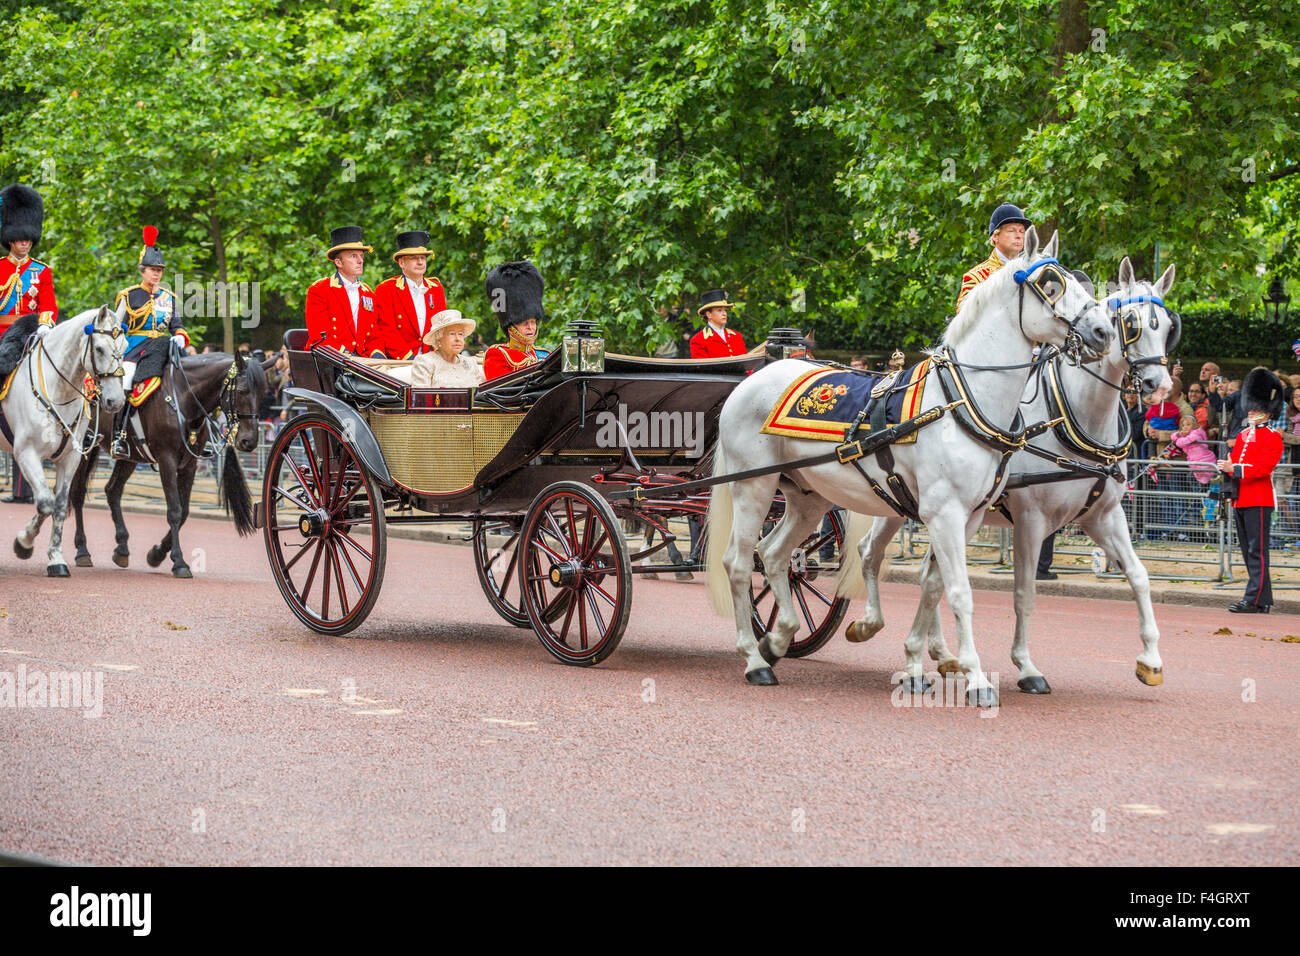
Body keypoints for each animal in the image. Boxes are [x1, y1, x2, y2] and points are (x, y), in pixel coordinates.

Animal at [0, 308, 126, 574]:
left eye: (124, 346)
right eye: (99, 349)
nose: (116, 401)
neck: (59, 392)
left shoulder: (70, 459)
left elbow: (57, 506)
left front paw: (55, 558)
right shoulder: (26, 454)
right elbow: (45, 503)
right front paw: (24, 544)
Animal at [69, 351, 269, 574]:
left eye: (263, 393)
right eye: (242, 391)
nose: (249, 441)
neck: (184, 397)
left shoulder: (190, 464)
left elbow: (184, 511)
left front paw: (156, 554)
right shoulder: (167, 460)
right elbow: (174, 510)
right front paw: (179, 562)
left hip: (131, 457)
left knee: (112, 490)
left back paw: (122, 548)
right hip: (83, 447)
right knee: (78, 493)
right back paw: (82, 550)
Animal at [707, 223, 1112, 702]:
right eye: (1051, 283)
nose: (1103, 332)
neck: (963, 400)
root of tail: (755, 377)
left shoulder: (969, 516)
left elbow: (934, 585)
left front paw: (922, 662)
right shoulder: (945, 512)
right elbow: (959, 591)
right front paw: (975, 677)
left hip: (808, 495)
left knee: (774, 554)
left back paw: (779, 637)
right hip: (752, 486)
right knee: (738, 561)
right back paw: (754, 659)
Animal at [852, 257, 1180, 691]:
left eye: (1168, 325)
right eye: (1130, 321)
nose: (1158, 385)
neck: (1074, 417)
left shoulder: (1103, 516)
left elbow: (1140, 576)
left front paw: (1151, 660)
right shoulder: (1030, 519)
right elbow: (1025, 592)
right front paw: (1026, 666)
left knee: (928, 574)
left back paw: (940, 653)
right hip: (895, 503)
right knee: (870, 552)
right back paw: (871, 625)